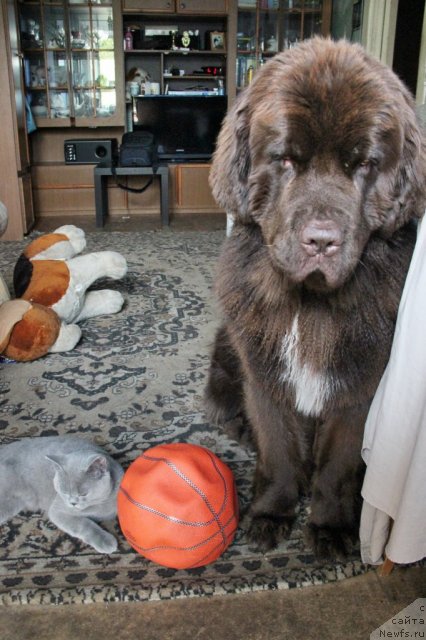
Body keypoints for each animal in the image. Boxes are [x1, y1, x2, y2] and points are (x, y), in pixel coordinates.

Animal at [206, 40, 426, 556]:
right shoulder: (265, 375)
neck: (310, 305)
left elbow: (339, 465)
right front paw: (271, 513)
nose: (321, 240)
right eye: (286, 159)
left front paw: (330, 526)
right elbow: (279, 449)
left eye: (364, 164)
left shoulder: (360, 386)